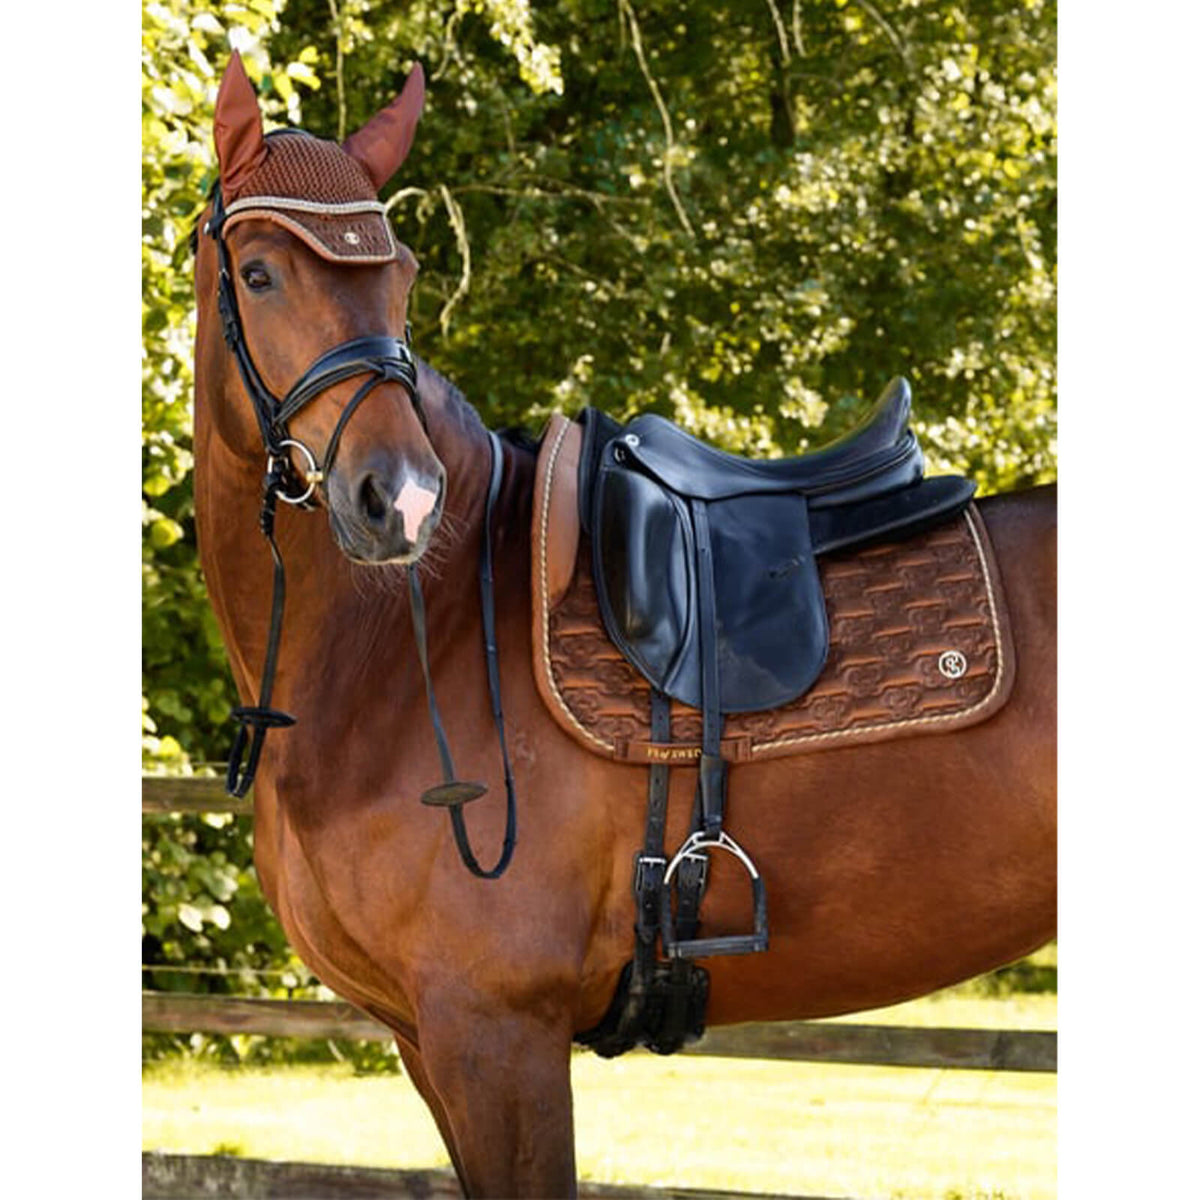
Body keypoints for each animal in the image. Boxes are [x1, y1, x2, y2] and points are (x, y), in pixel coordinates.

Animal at [191, 52, 1055, 1198]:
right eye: (257, 274)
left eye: (403, 277)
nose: (401, 501)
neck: (408, 650)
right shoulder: (429, 1043)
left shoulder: (495, 1032)